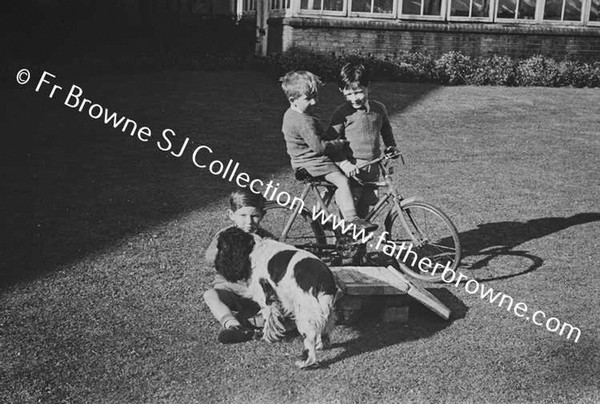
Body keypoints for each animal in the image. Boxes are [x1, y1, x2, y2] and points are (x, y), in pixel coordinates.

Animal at [216, 227, 338, 370]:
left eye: (222, 247)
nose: (217, 265)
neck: (253, 249)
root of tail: (324, 281)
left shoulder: (265, 297)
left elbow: (268, 320)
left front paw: (267, 337)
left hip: (304, 314)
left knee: (310, 342)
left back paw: (305, 363)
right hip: (321, 312)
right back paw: (319, 346)